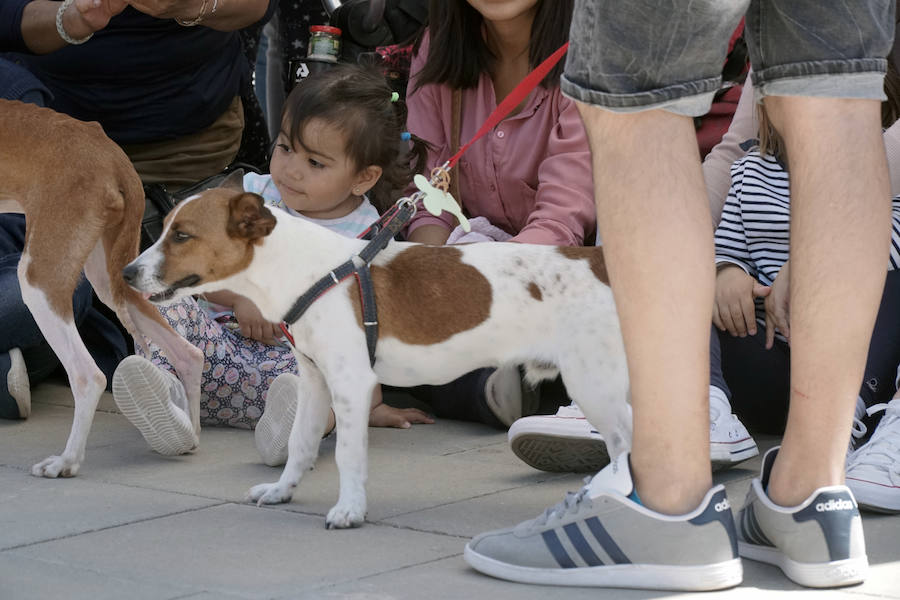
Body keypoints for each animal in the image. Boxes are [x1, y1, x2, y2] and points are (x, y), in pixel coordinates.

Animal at [0, 102, 203, 478]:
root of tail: (114, 157)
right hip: (112, 278)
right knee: (189, 354)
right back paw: (189, 436)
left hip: (41, 278)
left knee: (88, 375)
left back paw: (66, 461)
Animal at [123, 171, 628, 528]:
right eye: (165, 230)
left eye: (182, 236)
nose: (127, 272)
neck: (307, 272)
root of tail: (599, 262)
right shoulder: (314, 381)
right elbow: (300, 442)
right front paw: (283, 490)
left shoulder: (351, 384)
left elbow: (347, 454)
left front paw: (349, 510)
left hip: (595, 383)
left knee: (625, 441)